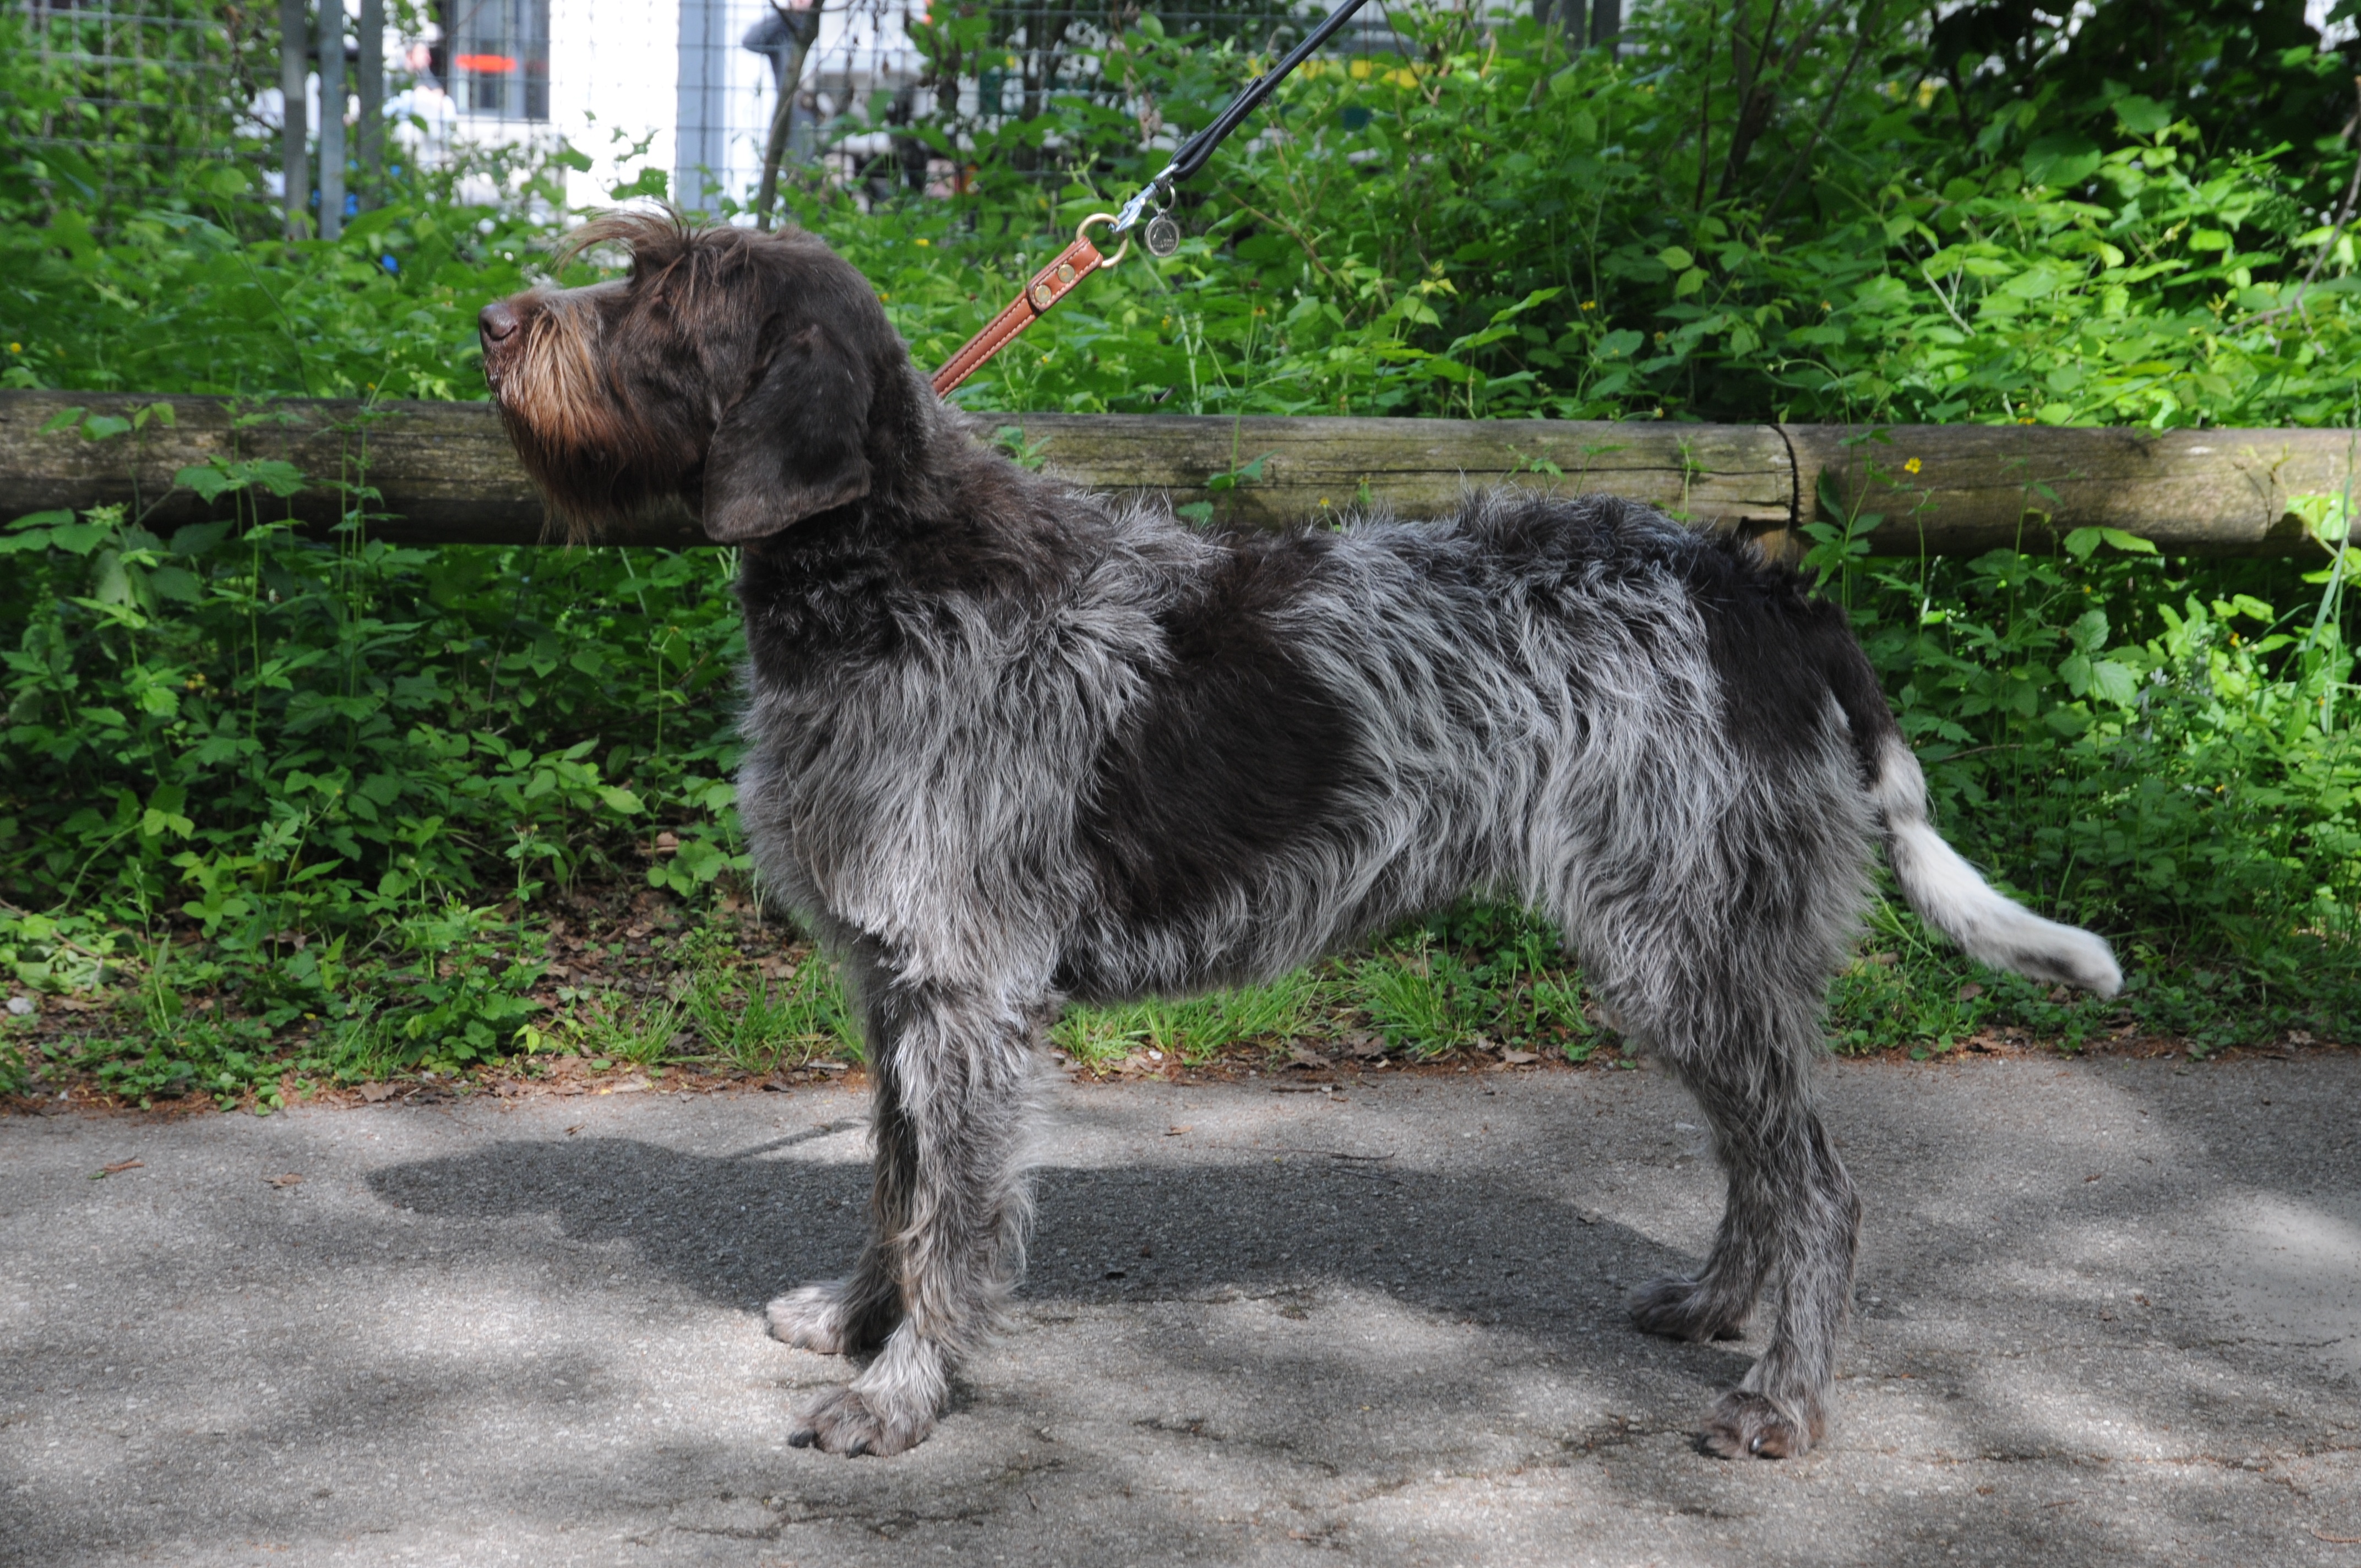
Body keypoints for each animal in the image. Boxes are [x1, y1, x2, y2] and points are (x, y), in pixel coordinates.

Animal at [474, 215, 2125, 1464]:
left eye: (661, 291)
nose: (492, 322)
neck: (880, 569)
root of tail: (1759, 589)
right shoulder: (895, 984)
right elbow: (894, 1181)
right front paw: (862, 1320)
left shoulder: (962, 995)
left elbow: (952, 1213)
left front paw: (899, 1392)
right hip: (1685, 954)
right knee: (1760, 1166)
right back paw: (1721, 1306)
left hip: (1693, 943)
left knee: (1819, 1189)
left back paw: (1778, 1396)